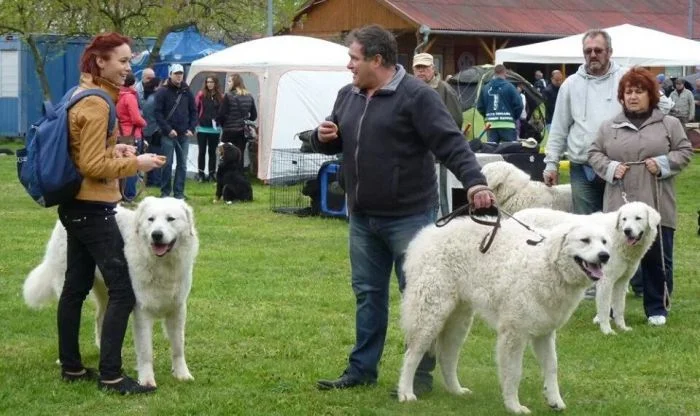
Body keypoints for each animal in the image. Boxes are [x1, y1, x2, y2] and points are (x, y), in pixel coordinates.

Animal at [23, 197, 199, 387]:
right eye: (151, 220)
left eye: (170, 219)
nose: (156, 235)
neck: (162, 266)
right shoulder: (142, 311)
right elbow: (146, 352)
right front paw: (146, 380)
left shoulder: (178, 308)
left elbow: (178, 347)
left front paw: (182, 374)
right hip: (68, 282)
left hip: (107, 293)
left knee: (101, 318)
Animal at [397, 217, 610, 413]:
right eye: (585, 240)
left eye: (604, 242)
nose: (605, 256)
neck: (548, 265)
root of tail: (423, 236)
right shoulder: (514, 333)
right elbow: (514, 372)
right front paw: (514, 406)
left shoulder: (545, 332)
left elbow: (552, 366)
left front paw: (554, 400)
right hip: (430, 314)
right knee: (412, 354)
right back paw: (406, 393)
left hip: (459, 320)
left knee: (447, 356)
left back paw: (456, 390)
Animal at [513, 202, 660, 334]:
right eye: (624, 219)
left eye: (638, 218)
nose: (627, 231)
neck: (617, 236)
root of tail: (515, 215)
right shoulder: (606, 281)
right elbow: (605, 308)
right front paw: (607, 330)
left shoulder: (622, 282)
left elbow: (619, 308)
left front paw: (622, 328)